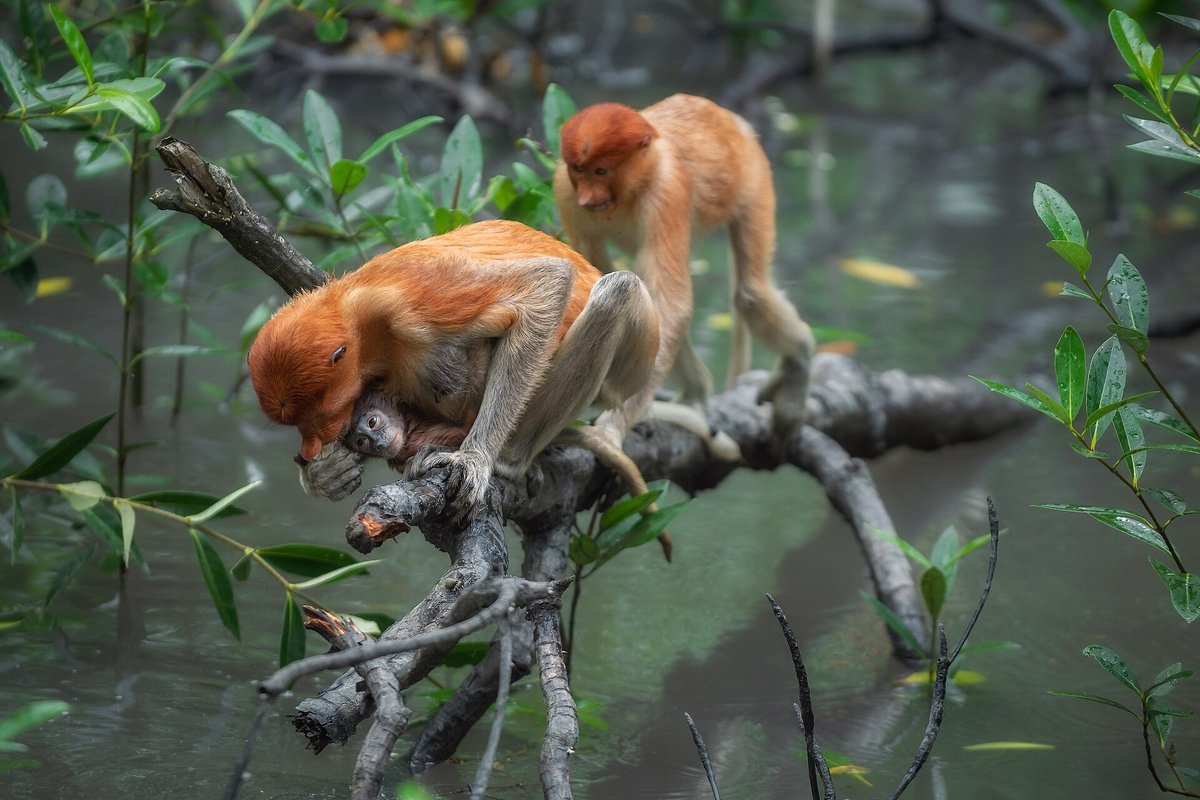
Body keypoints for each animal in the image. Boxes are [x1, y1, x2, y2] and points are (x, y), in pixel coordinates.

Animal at [248, 219, 664, 526]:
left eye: (315, 413)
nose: (309, 446)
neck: (355, 311)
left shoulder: (415, 296)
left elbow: (546, 282)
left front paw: (474, 460)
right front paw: (325, 474)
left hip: (635, 358)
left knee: (617, 291)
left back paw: (509, 458)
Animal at [554, 94, 816, 449]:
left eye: (601, 170)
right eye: (579, 170)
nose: (587, 198)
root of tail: (731, 120)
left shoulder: (667, 192)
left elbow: (672, 305)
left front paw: (608, 431)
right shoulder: (566, 190)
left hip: (754, 180)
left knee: (751, 295)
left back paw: (799, 360)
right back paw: (695, 392)